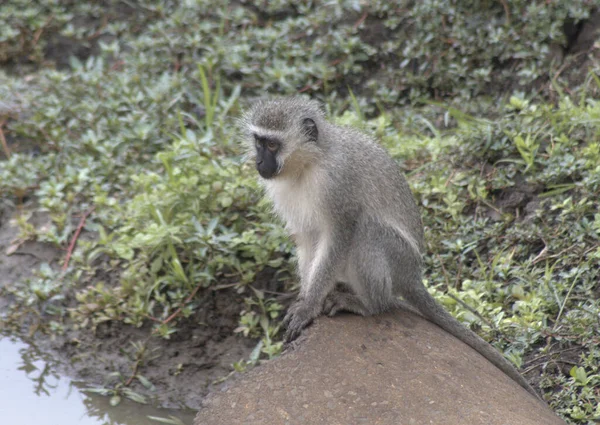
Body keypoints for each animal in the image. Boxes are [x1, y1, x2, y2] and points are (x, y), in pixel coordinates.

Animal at [241, 96, 540, 400]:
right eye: (258, 141)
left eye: (273, 145)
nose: (258, 162)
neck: (308, 164)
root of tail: (414, 276)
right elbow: (306, 238)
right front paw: (305, 297)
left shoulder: (337, 185)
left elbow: (340, 235)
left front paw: (308, 307)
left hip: (399, 259)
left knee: (366, 230)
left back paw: (369, 304)